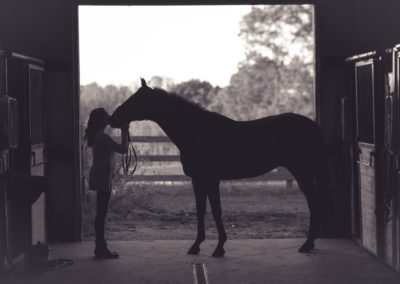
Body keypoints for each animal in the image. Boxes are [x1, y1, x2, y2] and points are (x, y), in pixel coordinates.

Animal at [109, 77, 328, 258]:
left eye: (136, 99)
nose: (113, 118)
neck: (196, 132)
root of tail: (314, 126)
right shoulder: (199, 181)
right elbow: (201, 211)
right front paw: (197, 246)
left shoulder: (210, 180)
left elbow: (215, 211)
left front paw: (218, 247)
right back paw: (310, 243)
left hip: (303, 173)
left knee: (314, 202)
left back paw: (307, 244)